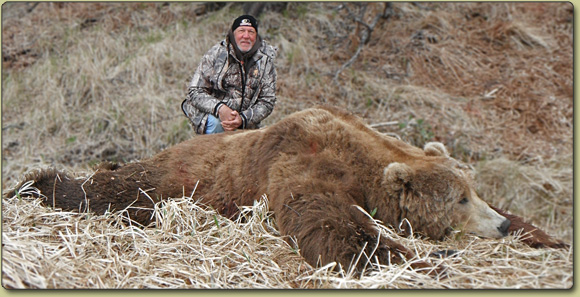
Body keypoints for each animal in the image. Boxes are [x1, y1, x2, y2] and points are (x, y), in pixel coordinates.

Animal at [6, 106, 568, 272]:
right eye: (459, 199)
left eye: (475, 190)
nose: (498, 224)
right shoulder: (303, 160)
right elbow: (323, 217)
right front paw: (419, 259)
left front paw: (548, 235)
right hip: (173, 178)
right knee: (115, 188)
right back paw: (39, 184)